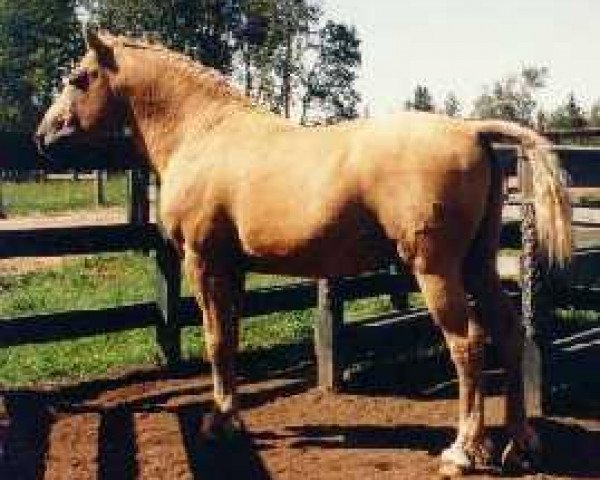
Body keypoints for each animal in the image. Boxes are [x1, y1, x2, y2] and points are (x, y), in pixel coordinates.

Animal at [36, 30, 572, 476]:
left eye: (78, 77)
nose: (44, 134)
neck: (204, 131)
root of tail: (471, 130)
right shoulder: (233, 268)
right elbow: (230, 339)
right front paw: (229, 416)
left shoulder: (202, 261)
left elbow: (214, 339)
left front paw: (217, 423)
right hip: (477, 265)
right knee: (508, 333)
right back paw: (519, 445)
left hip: (436, 270)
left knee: (467, 344)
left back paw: (462, 451)